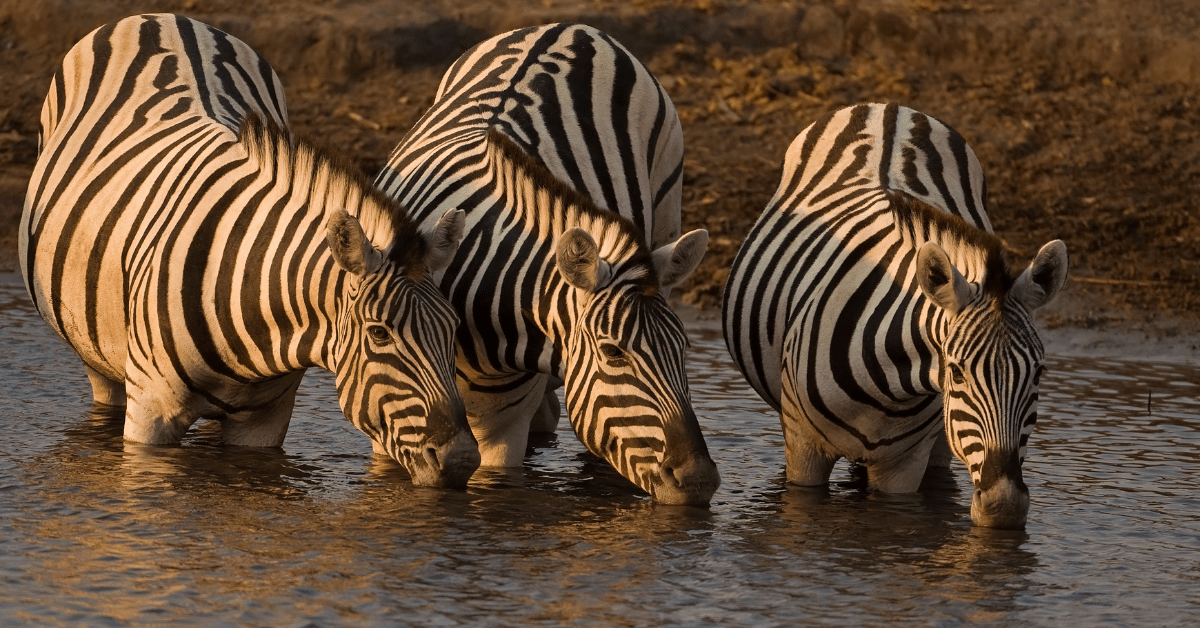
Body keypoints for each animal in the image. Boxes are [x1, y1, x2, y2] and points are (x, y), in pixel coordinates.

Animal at [20, 13, 480, 487]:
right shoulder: (150, 411)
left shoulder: (264, 420)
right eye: (379, 334)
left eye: (453, 327)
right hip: (98, 359)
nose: (462, 461)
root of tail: (162, 18)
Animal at [374, 23, 720, 505]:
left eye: (684, 348)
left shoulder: (502, 429)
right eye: (613, 352)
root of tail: (575, 28)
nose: (700, 481)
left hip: (667, 207)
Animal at [722, 103, 1068, 528]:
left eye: (1038, 373)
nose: (1005, 507)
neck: (889, 386)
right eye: (956, 372)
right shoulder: (804, 449)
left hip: (939, 441)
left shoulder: (905, 465)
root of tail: (888, 108)